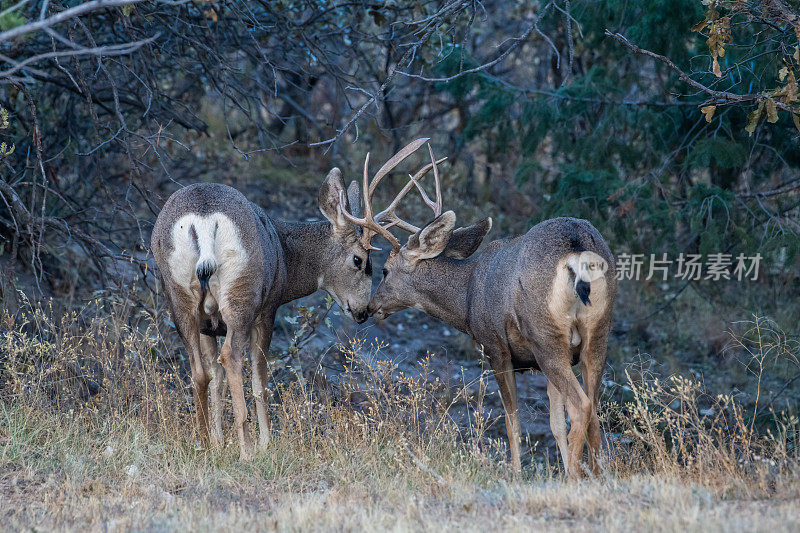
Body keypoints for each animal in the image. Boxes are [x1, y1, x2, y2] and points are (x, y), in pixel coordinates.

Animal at [150, 137, 438, 458]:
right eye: (359, 260)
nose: (363, 312)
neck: (285, 257)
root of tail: (203, 220)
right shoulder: (268, 309)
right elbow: (259, 381)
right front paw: (265, 443)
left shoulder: (209, 325)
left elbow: (216, 380)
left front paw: (217, 441)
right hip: (242, 294)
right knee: (233, 358)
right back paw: (247, 450)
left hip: (179, 294)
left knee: (200, 372)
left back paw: (202, 443)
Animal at [362, 147, 620, 478]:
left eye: (383, 270)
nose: (370, 307)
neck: (467, 296)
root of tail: (576, 251)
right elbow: (554, 424)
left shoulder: (496, 348)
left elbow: (513, 421)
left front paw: (516, 475)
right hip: (598, 334)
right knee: (594, 412)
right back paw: (598, 477)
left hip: (546, 336)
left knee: (581, 407)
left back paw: (574, 478)